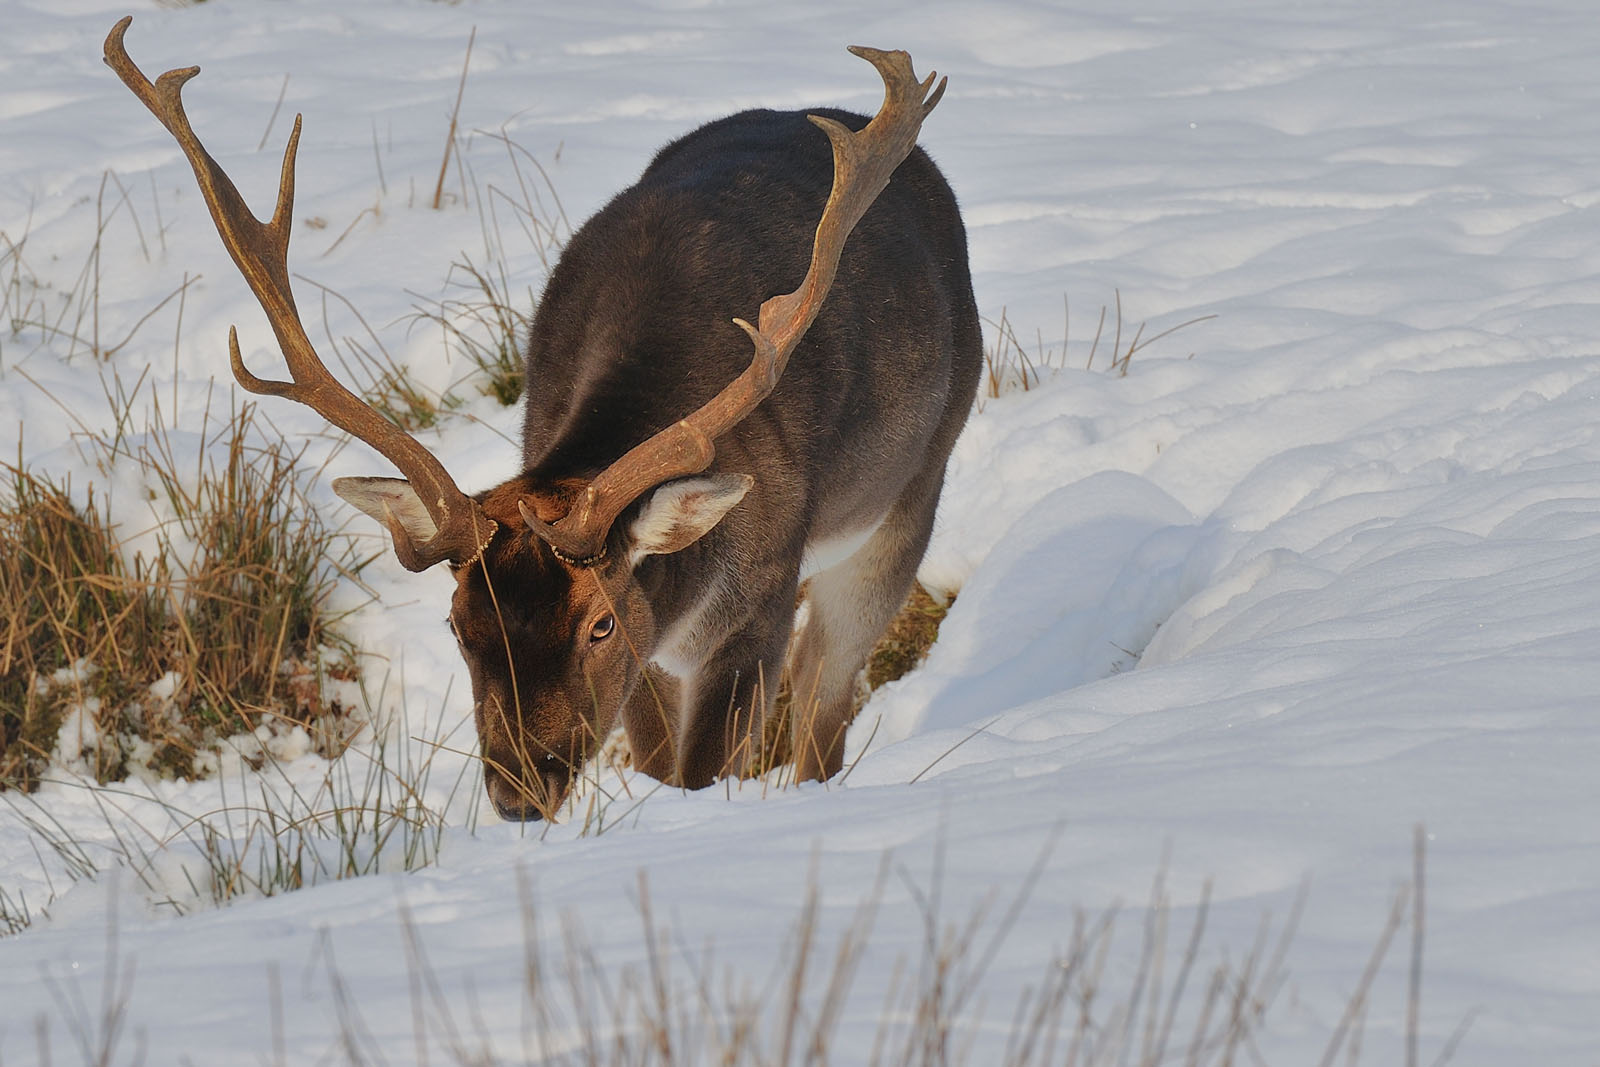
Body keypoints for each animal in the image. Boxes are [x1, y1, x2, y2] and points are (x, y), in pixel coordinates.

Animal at [106, 16, 979, 825]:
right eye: (459, 625)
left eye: (599, 623)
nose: (521, 793)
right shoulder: (650, 656)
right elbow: (658, 770)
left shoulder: (756, 603)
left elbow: (706, 772)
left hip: (910, 498)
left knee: (824, 701)